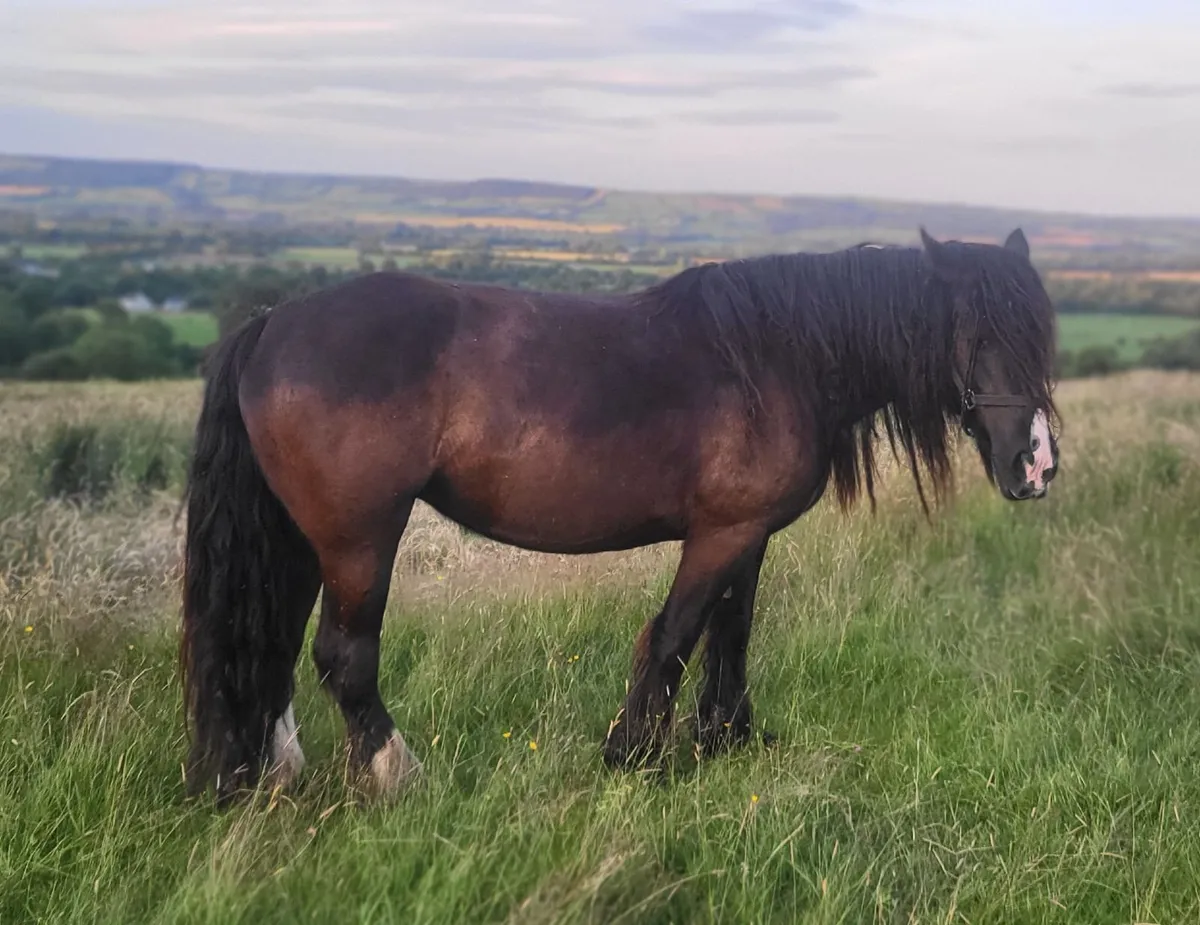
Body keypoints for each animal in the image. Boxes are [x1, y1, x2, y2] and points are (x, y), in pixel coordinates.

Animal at [179, 227, 1060, 805]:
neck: (782, 356)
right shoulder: (721, 533)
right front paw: (631, 753)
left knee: (272, 644)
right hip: (360, 537)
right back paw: (399, 775)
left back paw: (267, 772)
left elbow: (731, 634)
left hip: (303, 538)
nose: (1036, 463)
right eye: (976, 333)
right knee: (343, 655)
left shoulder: (746, 535)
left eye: (1041, 334)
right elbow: (674, 635)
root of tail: (271, 323)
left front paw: (727, 737)